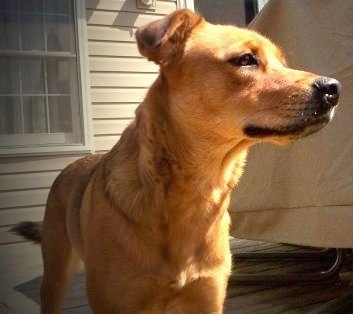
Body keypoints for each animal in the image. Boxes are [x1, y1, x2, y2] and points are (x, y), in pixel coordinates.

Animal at [12, 8, 340, 312]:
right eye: (245, 59)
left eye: (283, 61)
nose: (333, 88)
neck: (198, 194)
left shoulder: (207, 298)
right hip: (55, 275)